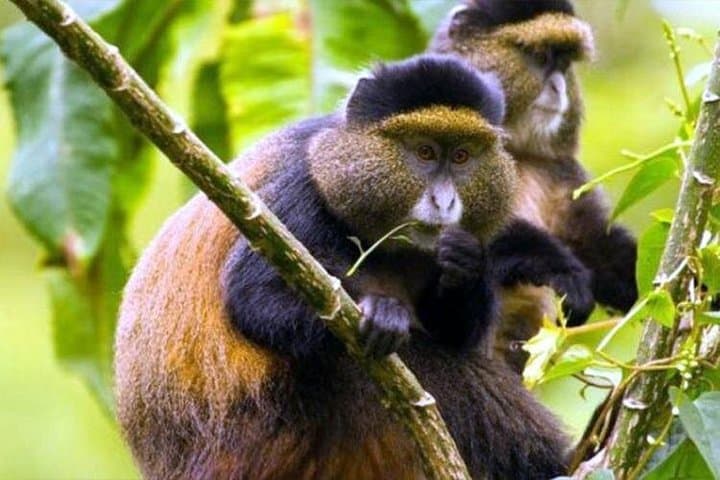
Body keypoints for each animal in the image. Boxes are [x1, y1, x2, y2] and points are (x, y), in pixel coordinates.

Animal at [115, 54, 575, 479]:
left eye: (462, 156)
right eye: (424, 152)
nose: (444, 202)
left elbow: (456, 330)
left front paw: (464, 263)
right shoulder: (296, 192)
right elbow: (255, 298)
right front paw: (385, 315)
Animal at [429, 0, 638, 371]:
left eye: (564, 63)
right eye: (540, 56)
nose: (559, 88)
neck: (515, 150)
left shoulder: (560, 172)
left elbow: (597, 243)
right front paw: (561, 268)